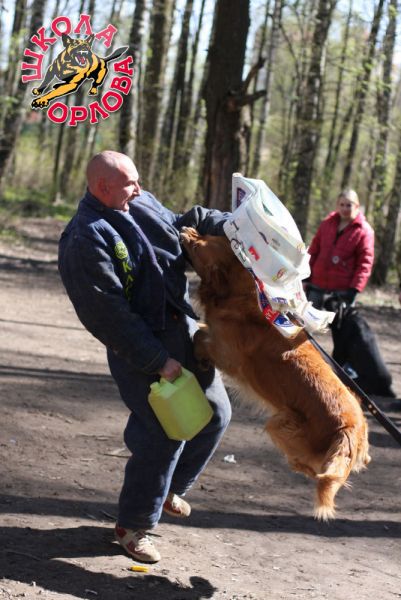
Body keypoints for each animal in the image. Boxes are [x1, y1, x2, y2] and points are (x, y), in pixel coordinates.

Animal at [181, 228, 371, 520]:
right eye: (211, 235)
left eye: (200, 244)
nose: (186, 229)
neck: (242, 296)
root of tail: (349, 431)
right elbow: (201, 329)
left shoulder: (228, 354)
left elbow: (200, 337)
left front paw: (200, 358)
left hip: (281, 423)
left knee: (312, 469)